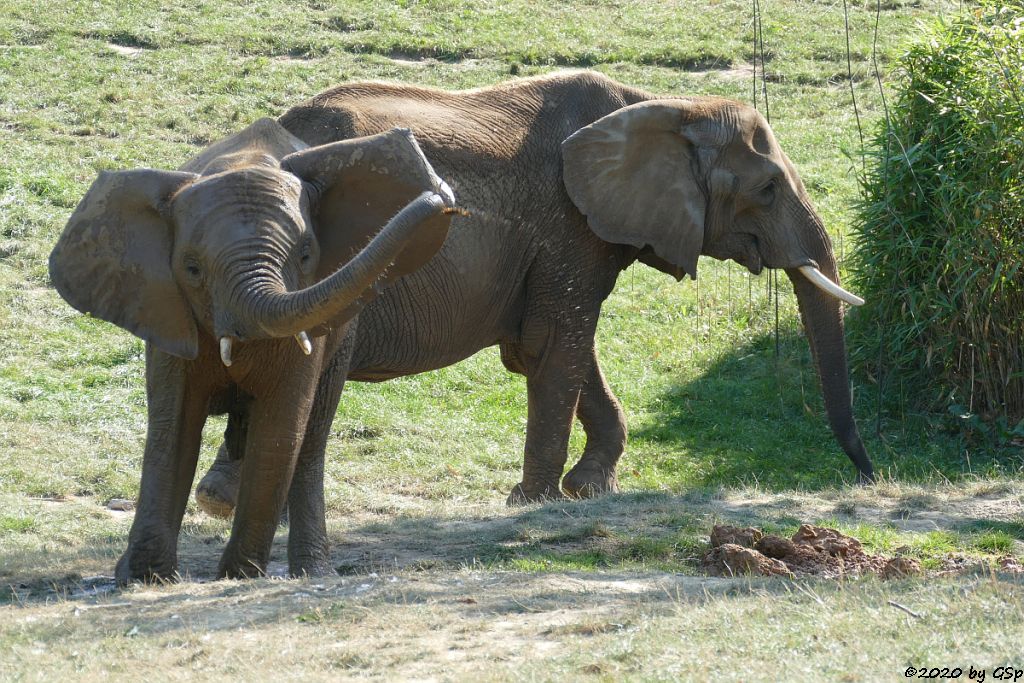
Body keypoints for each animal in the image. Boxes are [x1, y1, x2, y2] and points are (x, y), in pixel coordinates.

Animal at [48, 122, 456, 581]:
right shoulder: (165, 309)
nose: (443, 198)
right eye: (191, 269)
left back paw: (311, 571)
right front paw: (143, 577)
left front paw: (238, 575)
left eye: (306, 255)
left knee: (311, 441)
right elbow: (175, 425)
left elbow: (280, 424)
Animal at [193, 69, 872, 528]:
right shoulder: (567, 224)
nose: (866, 476)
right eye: (768, 187)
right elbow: (554, 344)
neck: (666, 104)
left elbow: (545, 346)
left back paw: (218, 501)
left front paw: (589, 488)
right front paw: (537, 500)